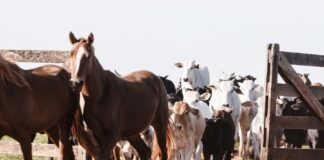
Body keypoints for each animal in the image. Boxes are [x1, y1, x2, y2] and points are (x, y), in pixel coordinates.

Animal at [68, 31, 170, 159]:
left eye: (88, 56)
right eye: (70, 54)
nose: (75, 83)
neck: (101, 94)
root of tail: (156, 79)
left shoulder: (112, 136)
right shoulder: (98, 136)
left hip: (160, 126)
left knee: (162, 152)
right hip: (132, 133)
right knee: (144, 151)